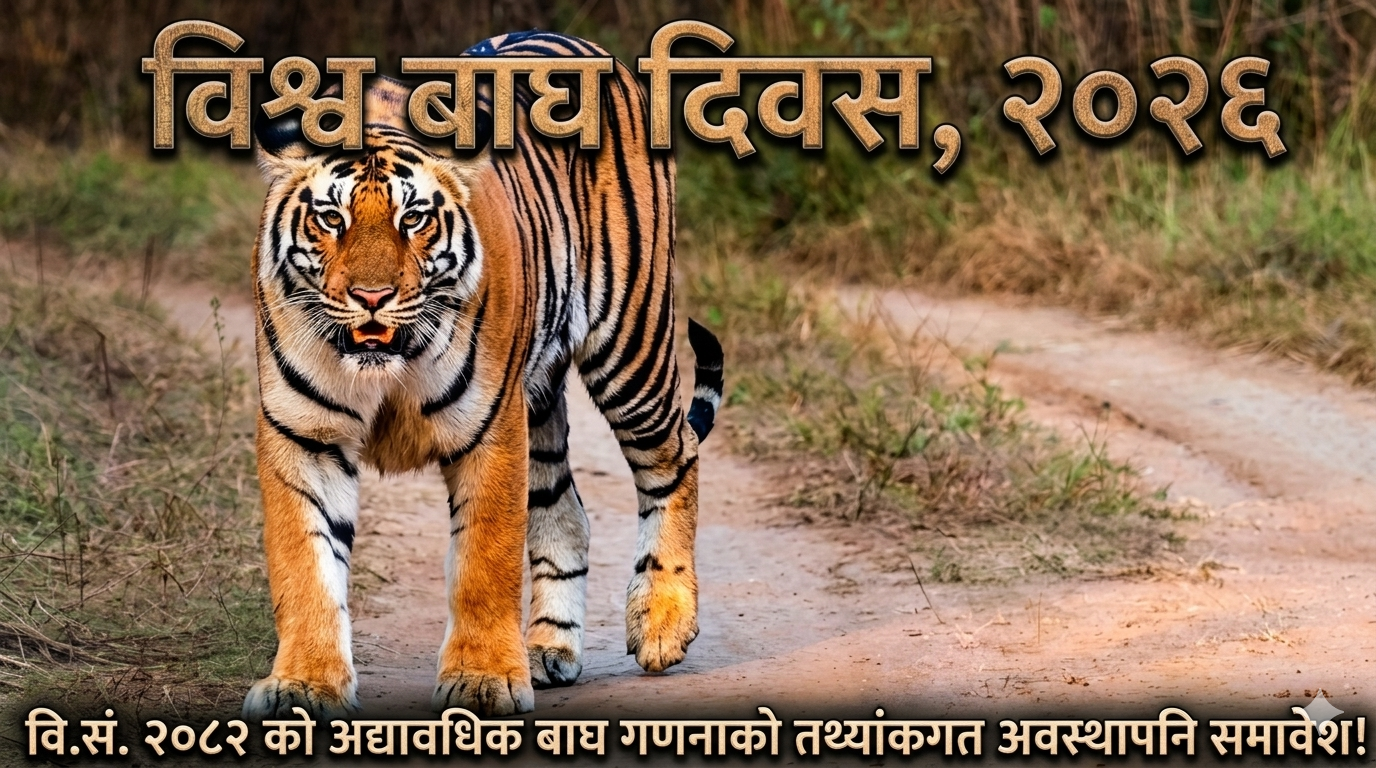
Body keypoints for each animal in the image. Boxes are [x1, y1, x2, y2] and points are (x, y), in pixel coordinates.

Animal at [241, 30, 724, 719]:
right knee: (568, 511)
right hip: (542, 395)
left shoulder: (490, 427)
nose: (371, 297)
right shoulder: (302, 435)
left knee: (674, 455)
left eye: (413, 219)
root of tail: (588, 46)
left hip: (630, 342)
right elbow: (303, 565)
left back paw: (662, 624)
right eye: (330, 219)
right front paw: (303, 686)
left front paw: (483, 680)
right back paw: (550, 650)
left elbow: (484, 562)